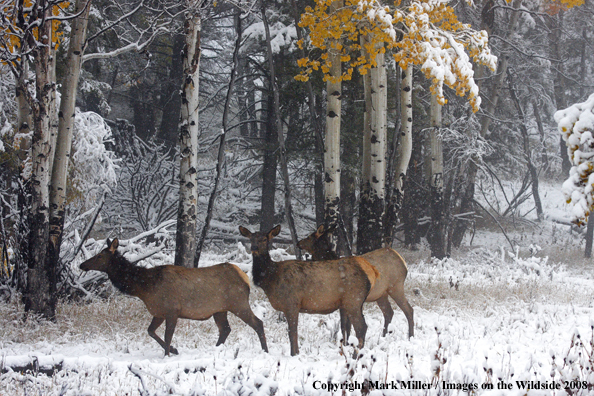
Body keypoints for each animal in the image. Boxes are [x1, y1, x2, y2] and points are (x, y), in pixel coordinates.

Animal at [77, 238, 268, 356]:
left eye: (99, 255)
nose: (81, 265)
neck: (144, 287)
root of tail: (245, 278)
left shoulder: (171, 310)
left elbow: (167, 336)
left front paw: (168, 354)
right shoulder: (159, 312)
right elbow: (150, 331)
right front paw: (175, 350)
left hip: (238, 303)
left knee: (258, 323)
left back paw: (265, 350)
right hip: (219, 310)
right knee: (226, 329)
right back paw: (215, 349)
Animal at [238, 226, 376, 356]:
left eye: (264, 239)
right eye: (251, 238)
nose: (254, 247)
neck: (270, 278)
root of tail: (370, 274)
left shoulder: (291, 303)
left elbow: (292, 332)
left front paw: (293, 354)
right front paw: (297, 352)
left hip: (353, 300)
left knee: (361, 327)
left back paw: (355, 355)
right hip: (355, 303)